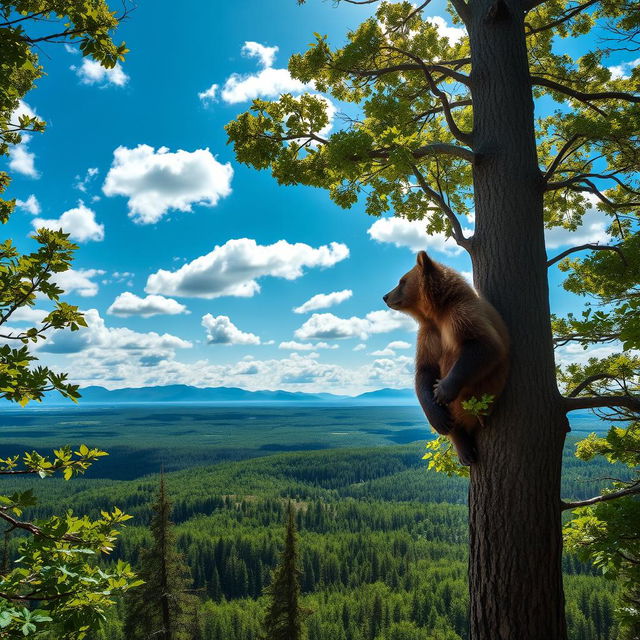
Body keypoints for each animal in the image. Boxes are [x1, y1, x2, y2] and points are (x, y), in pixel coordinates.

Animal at [384, 250, 510, 464]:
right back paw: (463, 446)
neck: (437, 312)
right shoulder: (428, 333)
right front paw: (437, 416)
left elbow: (484, 345)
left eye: (402, 281)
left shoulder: (460, 314)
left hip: (478, 395)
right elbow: (425, 369)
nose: (385, 296)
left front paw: (443, 389)